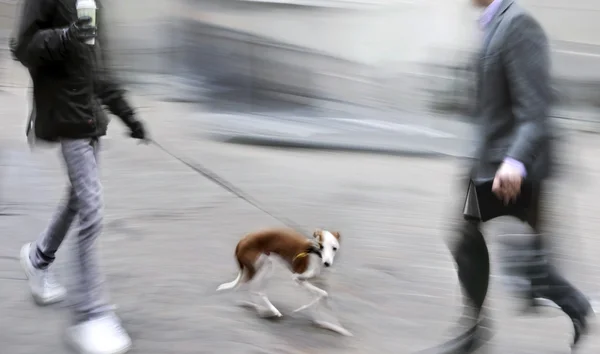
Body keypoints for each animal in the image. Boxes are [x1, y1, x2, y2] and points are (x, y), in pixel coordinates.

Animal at [217, 228, 352, 336]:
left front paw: (333, 326)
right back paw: (270, 311)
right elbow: (323, 294)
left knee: (253, 289)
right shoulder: (298, 278)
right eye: (321, 246)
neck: (315, 254)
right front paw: (303, 309)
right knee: (256, 289)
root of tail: (241, 242)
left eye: (334, 248)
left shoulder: (317, 282)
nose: (327, 263)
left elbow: (323, 299)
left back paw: (261, 309)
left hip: (263, 266)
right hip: (265, 266)